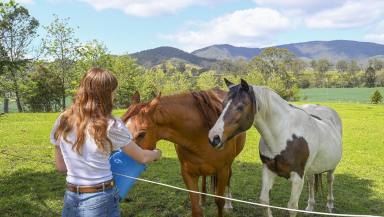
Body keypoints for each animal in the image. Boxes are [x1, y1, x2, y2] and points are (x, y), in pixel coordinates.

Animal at [122, 88, 246, 217]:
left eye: (141, 134)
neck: (201, 134)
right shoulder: (188, 173)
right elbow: (196, 209)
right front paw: (200, 202)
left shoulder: (223, 170)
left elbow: (219, 201)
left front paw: (225, 204)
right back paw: (203, 199)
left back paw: (229, 204)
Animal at [208, 79, 344, 216]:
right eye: (223, 104)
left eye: (240, 106)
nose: (214, 137)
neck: (284, 135)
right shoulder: (268, 170)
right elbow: (264, 201)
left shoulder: (297, 177)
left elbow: (292, 207)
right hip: (311, 169)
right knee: (311, 181)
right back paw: (310, 207)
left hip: (331, 167)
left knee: (330, 180)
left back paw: (330, 206)